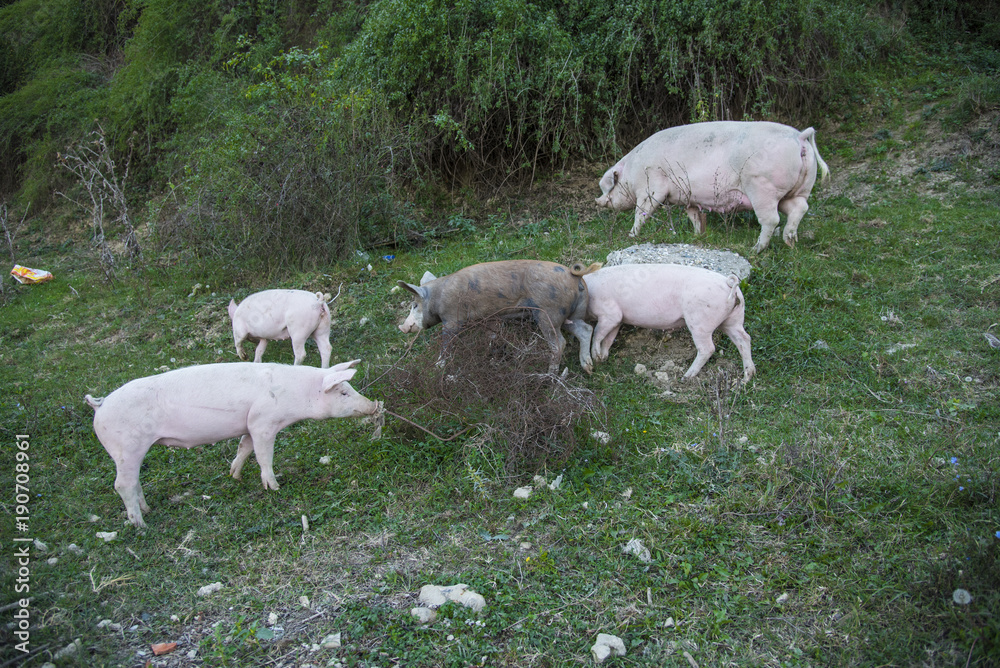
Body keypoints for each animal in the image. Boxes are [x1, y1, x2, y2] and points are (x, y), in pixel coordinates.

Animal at [85, 360, 378, 528]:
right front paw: (274, 487)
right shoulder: (263, 421)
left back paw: (147, 509)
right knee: (122, 484)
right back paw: (140, 525)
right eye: (343, 392)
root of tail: (100, 405)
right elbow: (263, 456)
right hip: (126, 447)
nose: (373, 405)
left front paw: (234, 475)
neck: (296, 395)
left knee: (134, 482)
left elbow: (243, 447)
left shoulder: (249, 425)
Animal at [397, 260, 600, 374]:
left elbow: (447, 342)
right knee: (585, 329)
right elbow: (493, 335)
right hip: (569, 314)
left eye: (415, 305)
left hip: (548, 313)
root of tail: (574, 275)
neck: (438, 297)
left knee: (560, 343)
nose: (402, 327)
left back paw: (550, 374)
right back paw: (589, 367)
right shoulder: (491, 318)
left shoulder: (452, 319)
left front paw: (438, 367)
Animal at [583, 264, 755, 382]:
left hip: (699, 322)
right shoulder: (618, 320)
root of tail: (728, 283)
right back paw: (746, 378)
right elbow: (609, 339)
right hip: (734, 319)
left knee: (708, 348)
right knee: (744, 339)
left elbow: (598, 333)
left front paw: (595, 357)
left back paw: (686, 377)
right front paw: (603, 358)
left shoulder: (610, 314)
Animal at [596, 121, 830, 253]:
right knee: (799, 209)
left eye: (607, 187)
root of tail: (800, 137)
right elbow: (695, 217)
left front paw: (631, 236)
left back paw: (755, 249)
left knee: (771, 220)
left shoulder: (651, 187)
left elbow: (642, 212)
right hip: (798, 191)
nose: (597, 201)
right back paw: (791, 243)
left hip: (762, 187)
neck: (633, 170)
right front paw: (698, 236)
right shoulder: (690, 199)